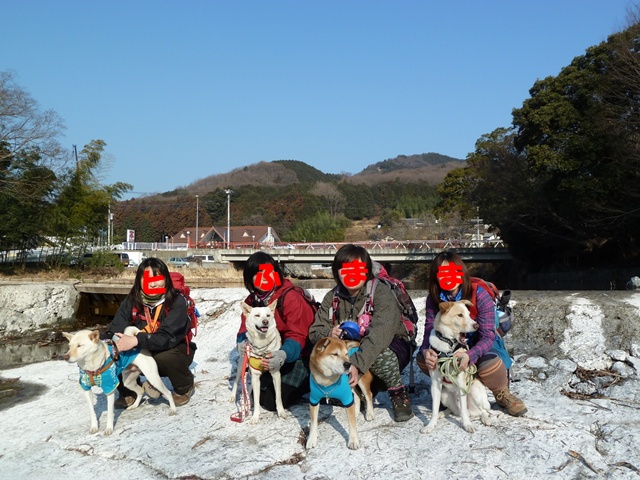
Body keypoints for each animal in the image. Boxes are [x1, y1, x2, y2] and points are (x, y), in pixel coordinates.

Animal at [420, 300, 492, 434]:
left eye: (469, 314)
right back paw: (443, 413)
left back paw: (486, 419)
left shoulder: (461, 381)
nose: (476, 326)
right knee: (457, 412)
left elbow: (464, 412)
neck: (447, 347)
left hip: (474, 391)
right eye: (460, 315)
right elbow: (434, 409)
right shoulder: (435, 384)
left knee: (480, 411)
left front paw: (467, 425)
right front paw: (431, 425)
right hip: (444, 394)